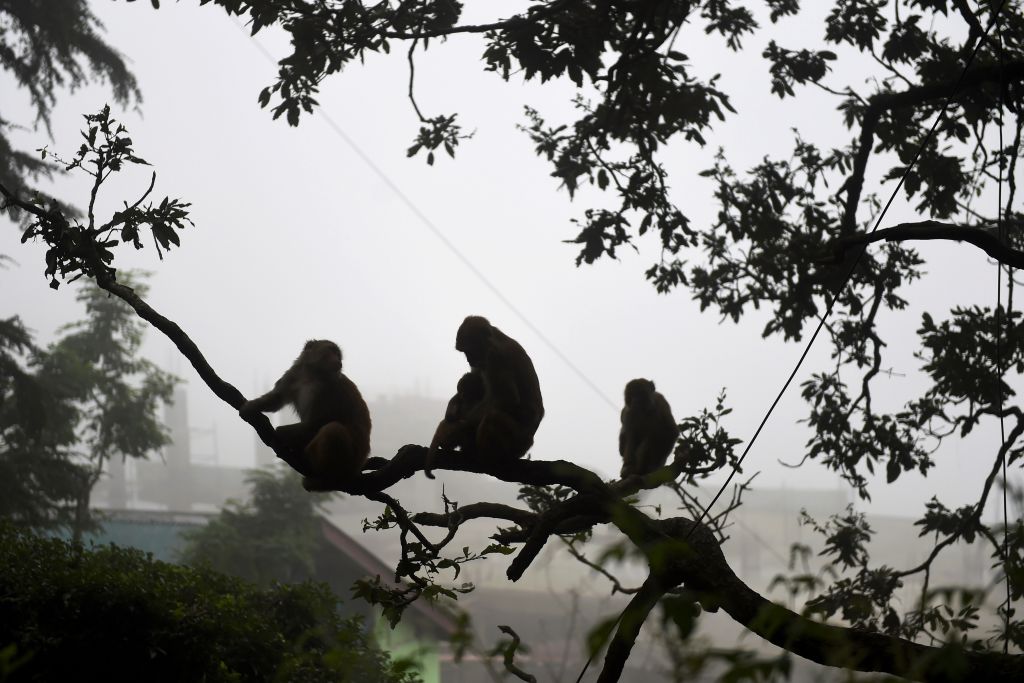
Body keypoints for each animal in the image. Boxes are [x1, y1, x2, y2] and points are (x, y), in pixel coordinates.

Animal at [240, 339, 371, 491]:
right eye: (331, 351)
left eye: (338, 355)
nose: (338, 361)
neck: (312, 375)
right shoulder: (293, 375)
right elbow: (276, 399)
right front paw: (250, 407)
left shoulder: (330, 387)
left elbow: (319, 421)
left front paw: (280, 433)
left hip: (350, 460)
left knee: (333, 429)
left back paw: (327, 477)